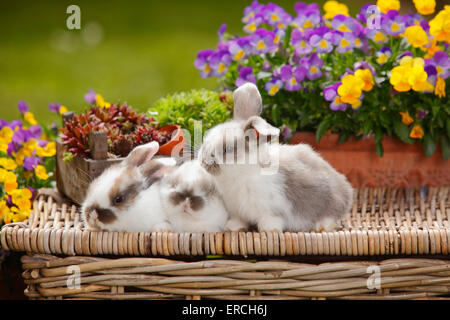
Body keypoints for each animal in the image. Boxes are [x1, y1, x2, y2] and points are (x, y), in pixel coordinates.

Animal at [199, 82, 354, 232]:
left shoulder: (271, 210)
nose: (203, 161)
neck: (244, 173)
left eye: (228, 149)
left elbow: (271, 221)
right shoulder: (238, 210)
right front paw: (232, 228)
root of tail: (347, 191)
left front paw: (269, 231)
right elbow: (239, 220)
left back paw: (320, 227)